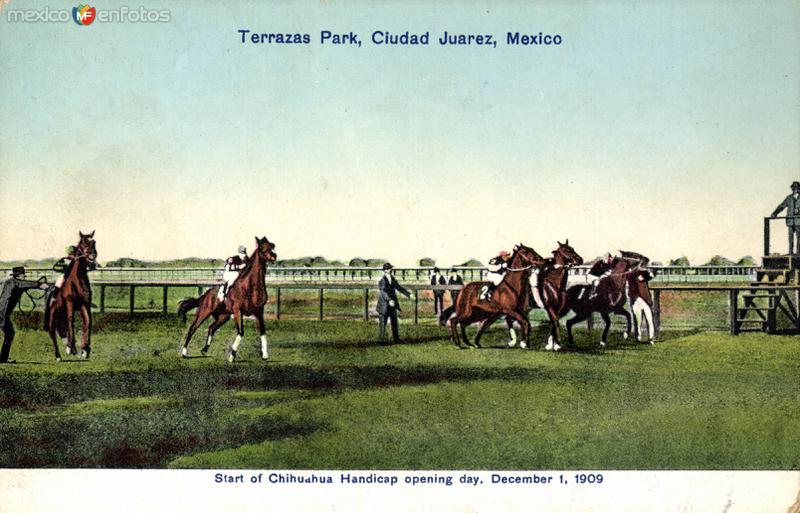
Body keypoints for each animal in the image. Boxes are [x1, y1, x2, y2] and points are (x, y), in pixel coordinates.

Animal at [46, 231, 98, 360]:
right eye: (84, 242)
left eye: (94, 242)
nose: (93, 255)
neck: (77, 281)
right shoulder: (70, 301)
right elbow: (71, 320)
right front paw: (71, 347)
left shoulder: (85, 303)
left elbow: (88, 321)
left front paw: (85, 348)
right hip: (53, 315)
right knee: (52, 332)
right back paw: (58, 356)